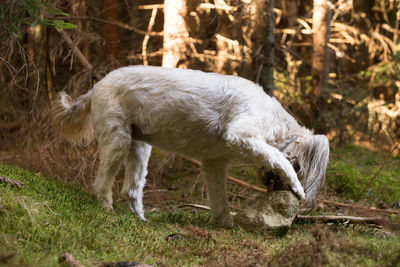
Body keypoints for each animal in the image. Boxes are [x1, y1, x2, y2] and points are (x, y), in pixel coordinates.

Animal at [52, 66, 328, 227]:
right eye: (300, 168)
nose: (274, 187)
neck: (274, 120)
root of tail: (95, 87)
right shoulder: (240, 134)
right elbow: (276, 157)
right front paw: (298, 187)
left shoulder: (214, 163)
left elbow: (220, 200)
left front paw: (227, 225)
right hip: (117, 141)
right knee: (102, 184)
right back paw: (108, 213)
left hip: (139, 147)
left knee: (130, 189)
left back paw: (141, 221)